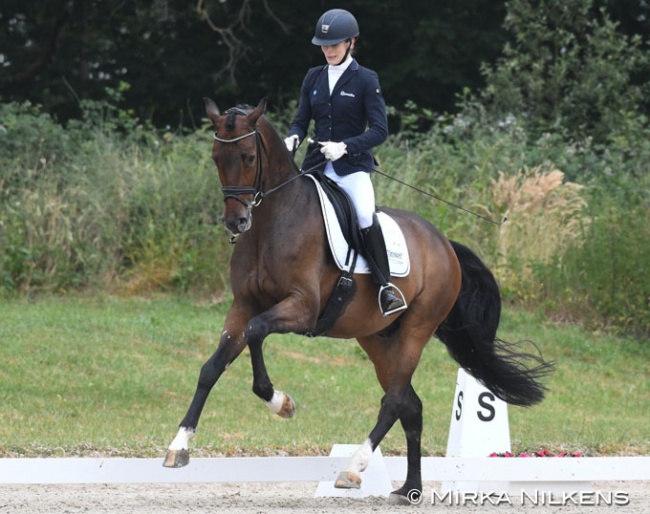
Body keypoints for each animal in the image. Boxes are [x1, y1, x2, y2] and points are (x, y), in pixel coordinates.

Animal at [163, 97, 552, 504]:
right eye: (215, 157)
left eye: (249, 156)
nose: (236, 222)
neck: (271, 223)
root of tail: (444, 243)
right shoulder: (243, 306)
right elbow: (212, 367)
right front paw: (179, 446)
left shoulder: (302, 309)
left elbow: (255, 333)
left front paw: (280, 402)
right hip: (376, 338)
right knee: (410, 405)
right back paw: (409, 489)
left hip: (417, 329)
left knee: (394, 401)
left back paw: (353, 468)